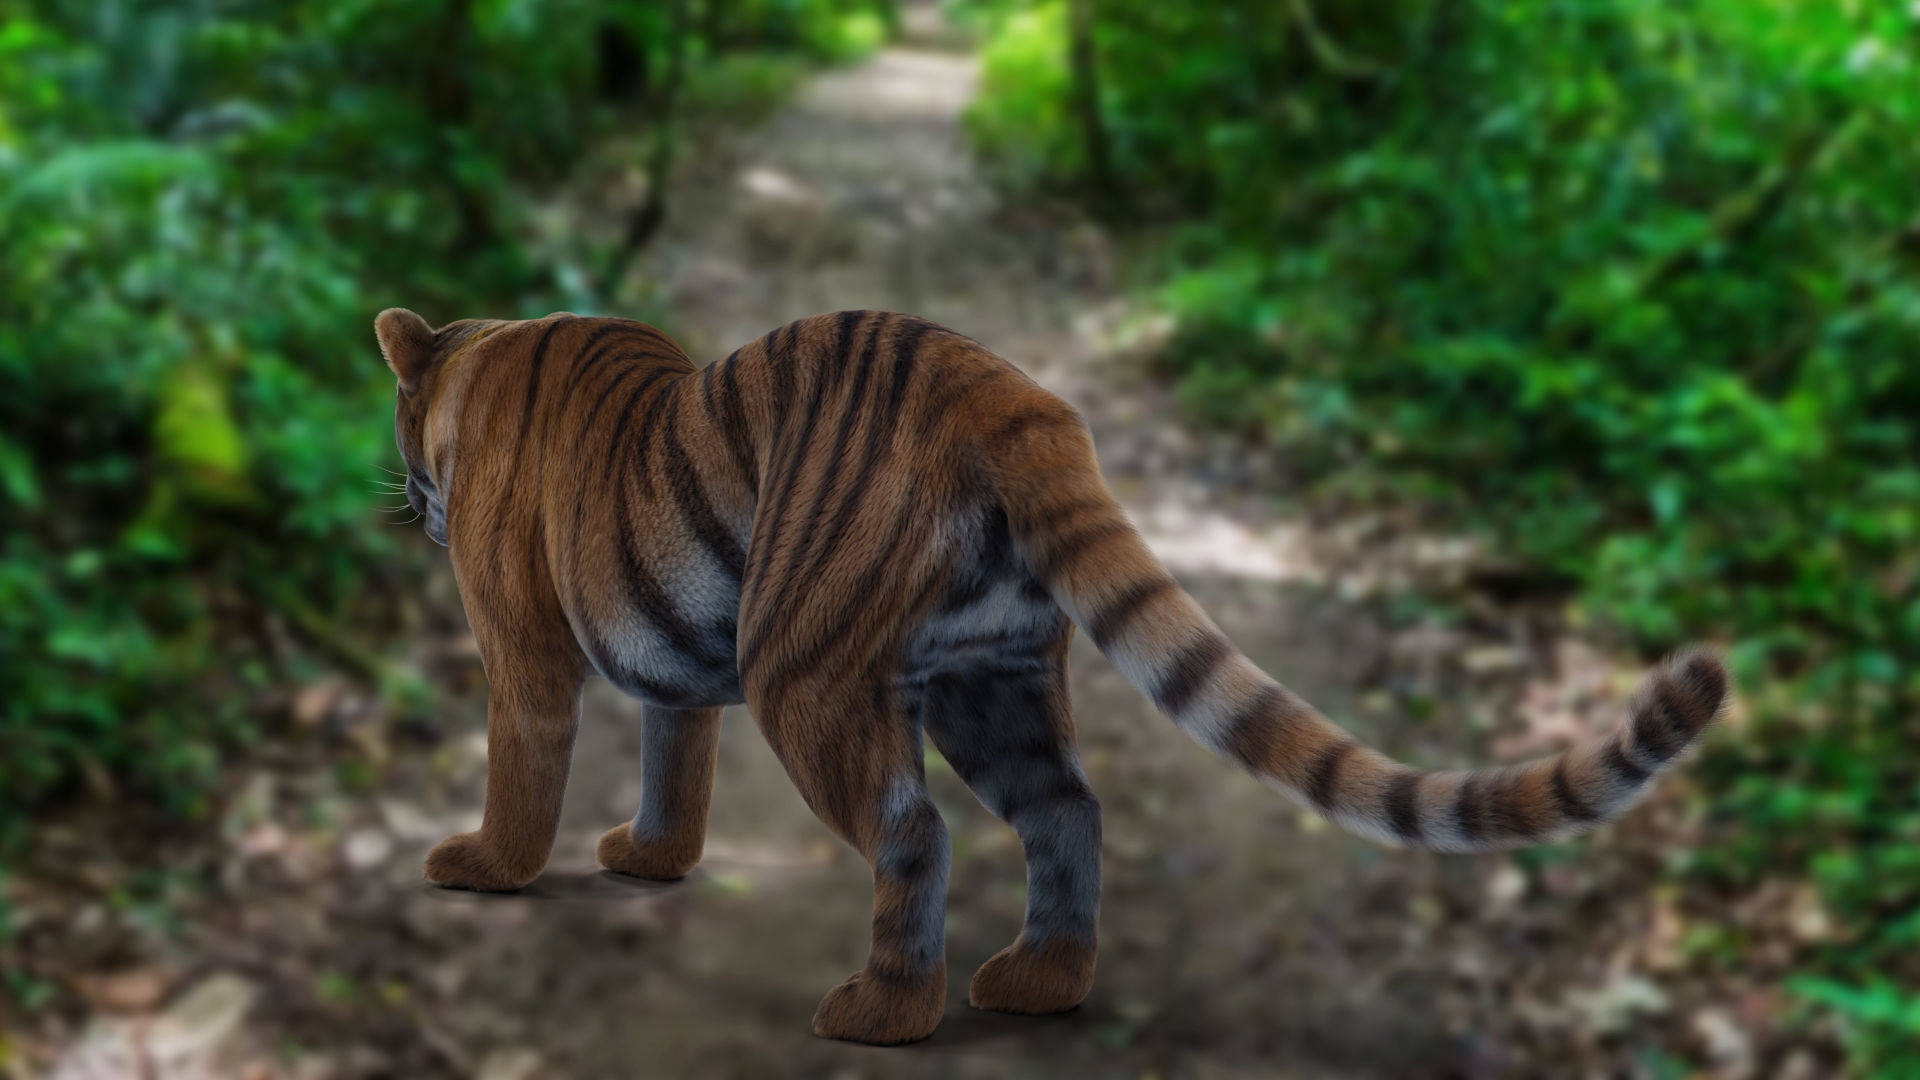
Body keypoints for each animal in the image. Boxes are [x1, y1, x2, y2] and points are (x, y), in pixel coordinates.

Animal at [374, 306, 1729, 1046]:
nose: (411, 509)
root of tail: (1002, 391)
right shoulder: (674, 675)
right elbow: (674, 753)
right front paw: (650, 858)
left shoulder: (526, 644)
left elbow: (525, 757)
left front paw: (482, 867)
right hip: (994, 677)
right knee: (1067, 808)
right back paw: (1041, 982)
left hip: (811, 669)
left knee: (915, 832)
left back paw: (885, 1011)